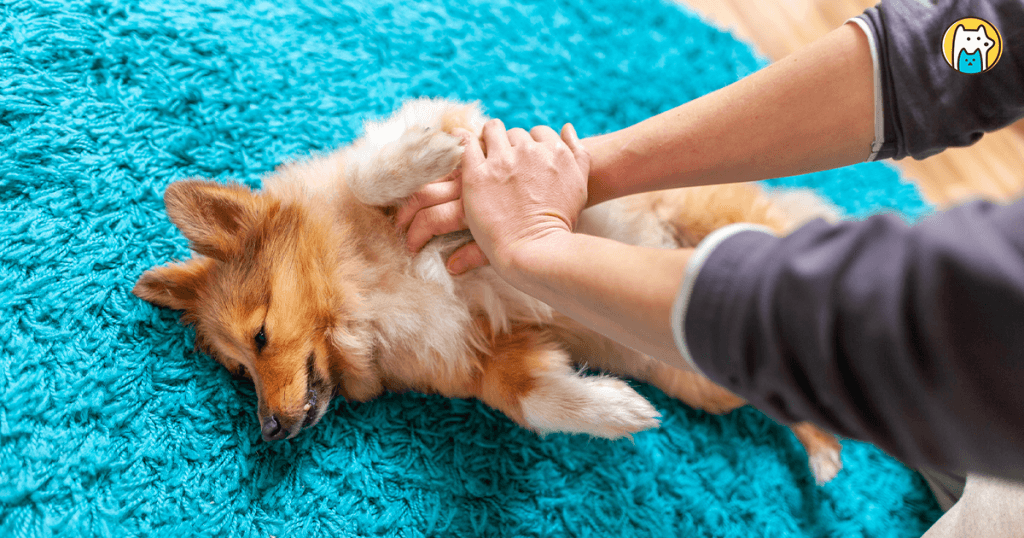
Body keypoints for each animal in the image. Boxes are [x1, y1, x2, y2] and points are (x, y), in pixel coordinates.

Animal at [132, 96, 843, 481]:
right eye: (238, 371)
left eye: (259, 337)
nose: (270, 432)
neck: (360, 295)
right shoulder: (490, 355)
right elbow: (533, 401)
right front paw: (616, 411)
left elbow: (370, 173)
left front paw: (426, 151)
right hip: (711, 373)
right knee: (795, 402)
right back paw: (825, 452)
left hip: (718, 227)